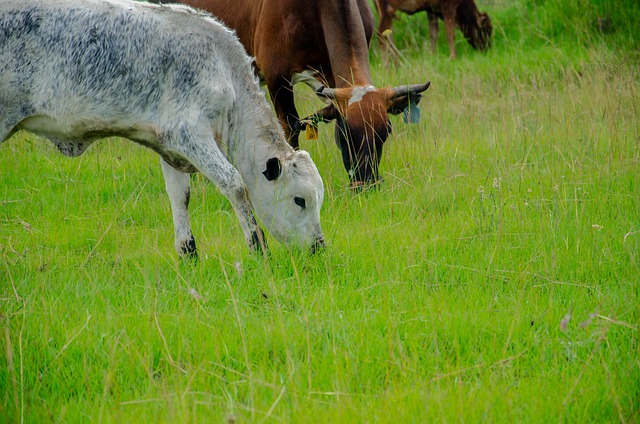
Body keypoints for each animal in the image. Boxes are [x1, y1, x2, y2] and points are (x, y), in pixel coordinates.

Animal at [0, 0, 324, 255]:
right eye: (300, 200)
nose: (319, 246)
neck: (224, 69)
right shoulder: (190, 135)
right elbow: (234, 184)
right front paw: (258, 247)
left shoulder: (170, 145)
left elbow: (180, 195)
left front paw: (188, 253)